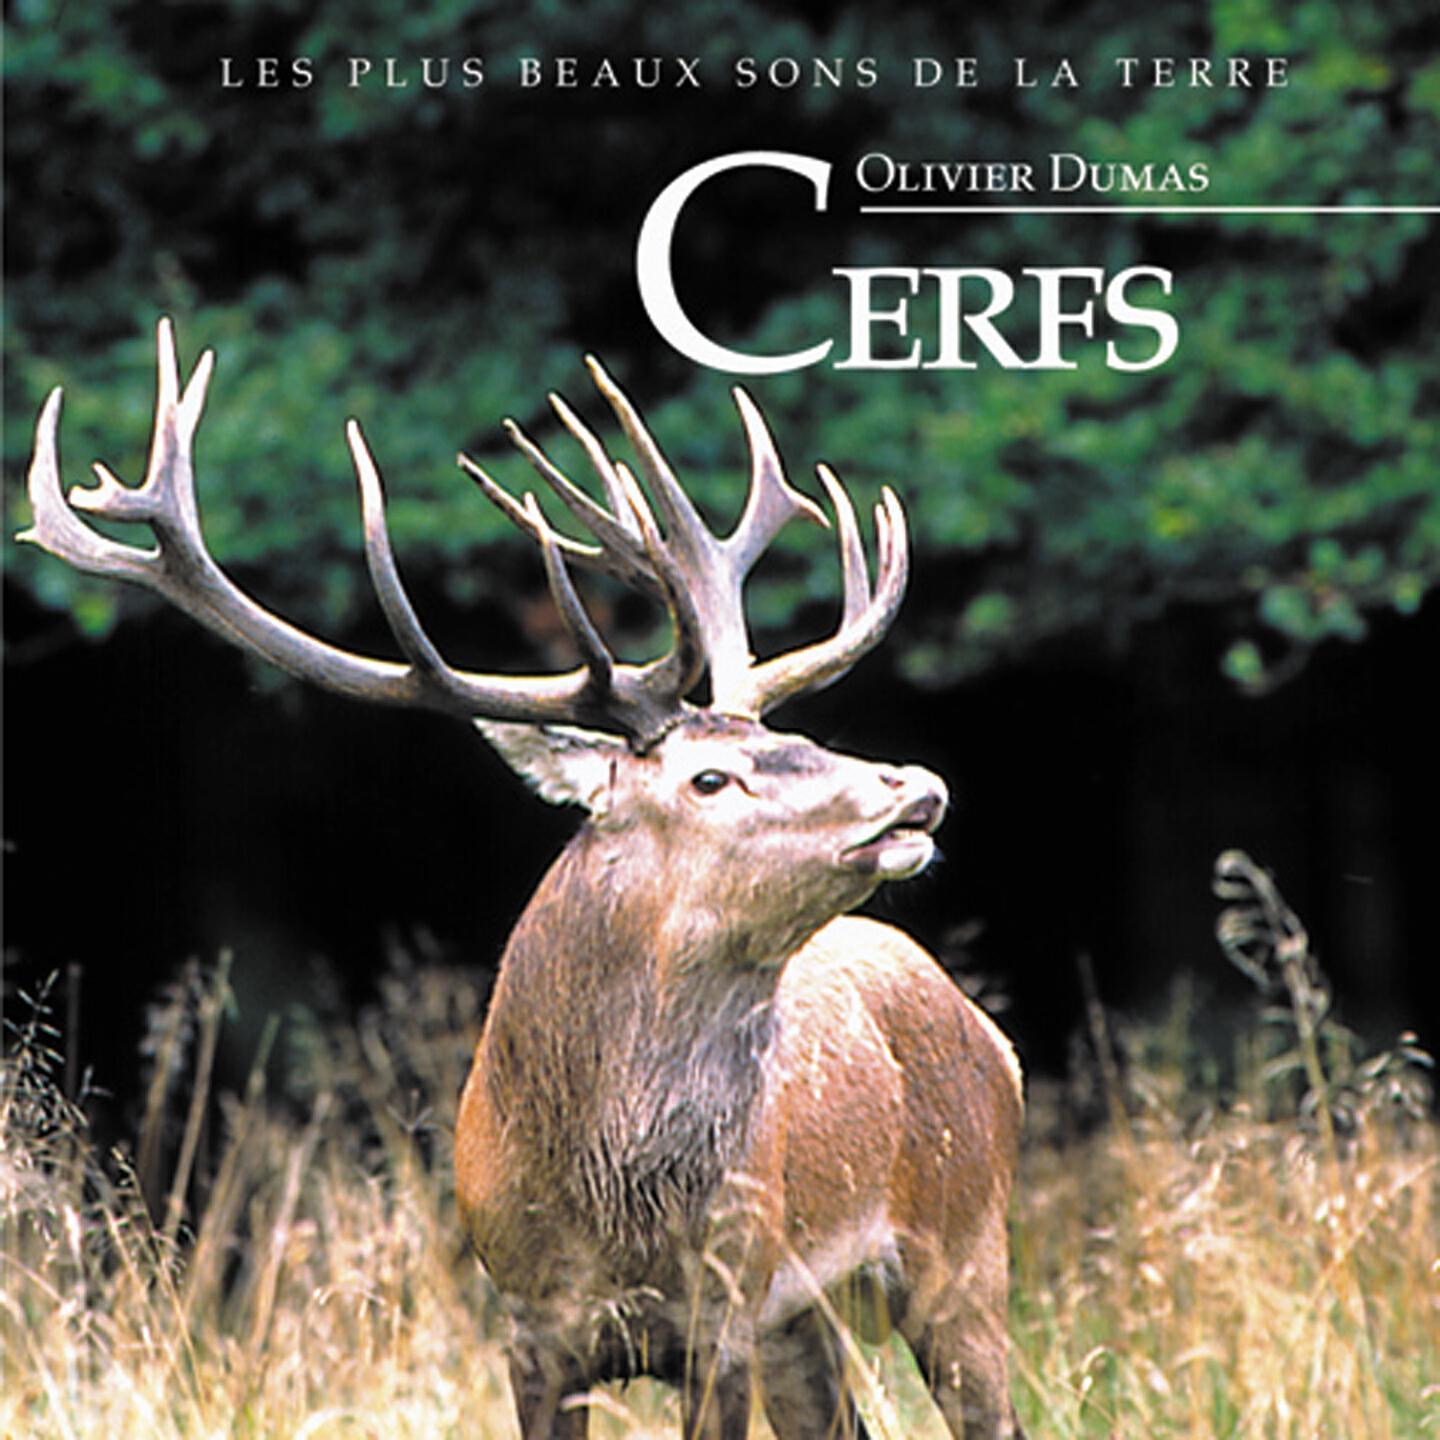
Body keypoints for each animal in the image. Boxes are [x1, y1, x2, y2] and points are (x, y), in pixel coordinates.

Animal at [22, 319, 1026, 1439]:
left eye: (797, 737)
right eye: (710, 777)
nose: (916, 788)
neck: (611, 1212)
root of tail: (991, 1036)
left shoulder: (724, 1311)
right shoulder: (532, 1324)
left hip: (965, 1249)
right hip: (812, 1319)